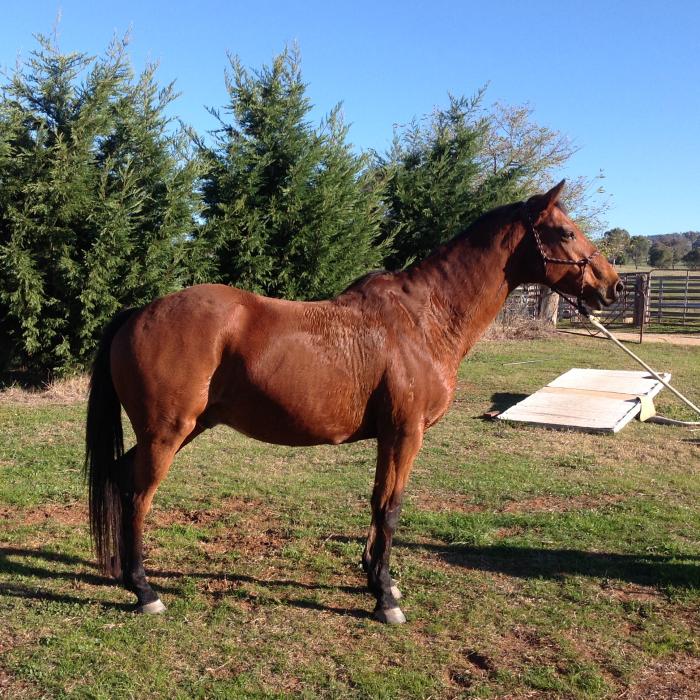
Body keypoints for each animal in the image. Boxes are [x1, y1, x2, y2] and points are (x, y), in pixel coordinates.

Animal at [85, 180, 622, 623]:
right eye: (564, 231)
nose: (612, 285)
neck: (422, 319)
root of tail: (138, 312)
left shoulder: (391, 436)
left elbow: (378, 502)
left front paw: (378, 579)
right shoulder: (405, 433)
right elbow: (391, 506)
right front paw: (383, 598)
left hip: (178, 431)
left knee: (120, 481)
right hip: (167, 433)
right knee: (138, 496)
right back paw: (145, 591)